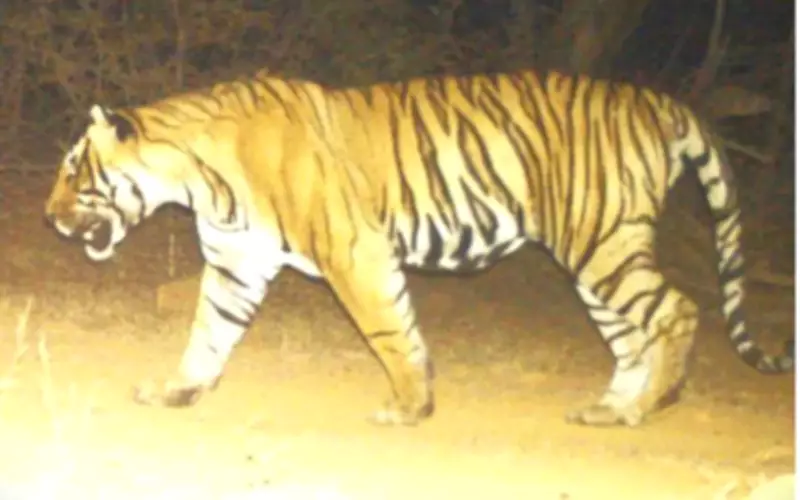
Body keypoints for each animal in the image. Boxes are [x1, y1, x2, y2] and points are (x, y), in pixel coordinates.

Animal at [43, 68, 794, 427]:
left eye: (75, 171)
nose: (48, 218)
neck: (197, 178)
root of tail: (659, 101)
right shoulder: (236, 264)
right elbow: (207, 333)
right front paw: (179, 391)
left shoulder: (355, 251)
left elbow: (388, 332)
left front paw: (408, 408)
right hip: (599, 255)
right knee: (633, 336)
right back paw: (608, 409)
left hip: (602, 241)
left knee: (676, 313)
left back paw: (643, 409)